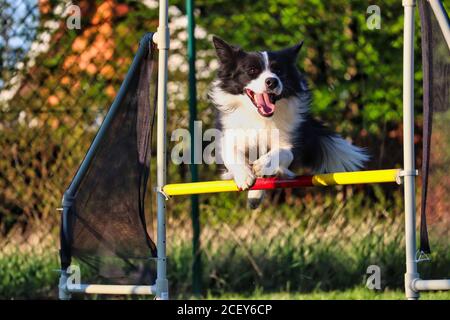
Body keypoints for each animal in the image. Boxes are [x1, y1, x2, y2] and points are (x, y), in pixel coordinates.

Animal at [209, 36, 368, 209]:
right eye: (251, 71)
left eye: (278, 71)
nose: (272, 81)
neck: (261, 117)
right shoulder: (229, 133)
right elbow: (231, 152)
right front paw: (245, 177)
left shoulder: (290, 139)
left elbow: (283, 153)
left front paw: (262, 165)